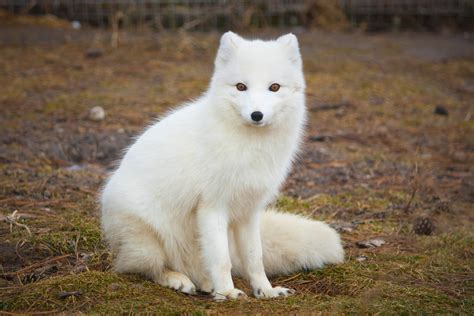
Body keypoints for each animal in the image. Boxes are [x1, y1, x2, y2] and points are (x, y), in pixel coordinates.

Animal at [101, 32, 344, 302]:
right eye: (240, 87)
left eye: (274, 87)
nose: (256, 115)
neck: (251, 148)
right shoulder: (212, 206)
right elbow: (221, 259)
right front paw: (227, 292)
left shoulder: (249, 210)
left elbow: (254, 258)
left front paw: (265, 290)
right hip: (147, 241)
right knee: (140, 268)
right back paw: (178, 280)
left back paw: (206, 283)